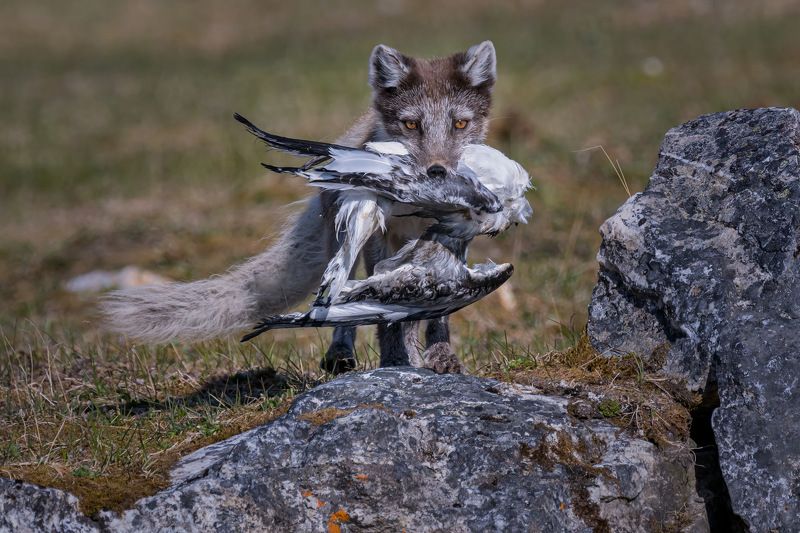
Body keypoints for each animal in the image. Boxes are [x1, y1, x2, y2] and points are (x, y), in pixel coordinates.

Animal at [102, 40, 498, 372]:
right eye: (412, 124)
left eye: (460, 123)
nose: (437, 172)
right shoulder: (378, 239)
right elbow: (385, 312)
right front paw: (396, 361)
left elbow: (437, 311)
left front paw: (440, 356)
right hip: (347, 240)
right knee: (345, 295)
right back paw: (341, 353)